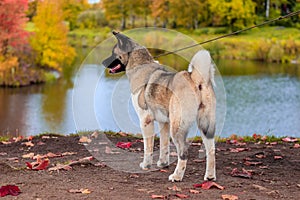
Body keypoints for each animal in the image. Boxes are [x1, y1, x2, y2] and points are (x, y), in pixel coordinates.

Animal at [102, 30, 216, 181]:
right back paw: (209, 176)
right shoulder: (164, 123)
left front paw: (146, 165)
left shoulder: (145, 120)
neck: (140, 64)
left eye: (113, 53)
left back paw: (177, 176)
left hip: (177, 128)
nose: (103, 62)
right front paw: (162, 163)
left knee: (183, 153)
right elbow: (164, 144)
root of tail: (195, 79)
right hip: (205, 125)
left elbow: (148, 147)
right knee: (211, 150)